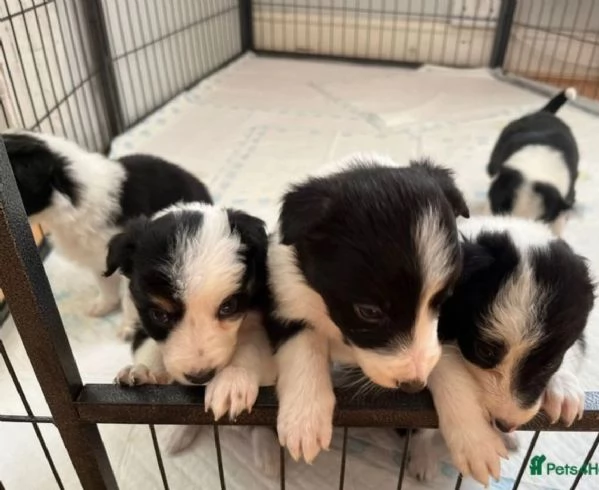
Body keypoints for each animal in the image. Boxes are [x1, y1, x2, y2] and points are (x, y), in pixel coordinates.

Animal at [105, 202, 278, 474]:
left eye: (228, 306)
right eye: (160, 314)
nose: (200, 377)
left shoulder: (260, 316)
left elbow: (251, 346)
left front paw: (232, 383)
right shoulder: (143, 324)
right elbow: (151, 350)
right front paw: (141, 372)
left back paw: (268, 454)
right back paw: (177, 435)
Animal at [270, 153, 472, 464]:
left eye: (443, 299)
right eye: (370, 312)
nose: (413, 385)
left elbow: (444, 357)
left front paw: (475, 436)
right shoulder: (285, 295)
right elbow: (304, 343)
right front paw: (304, 419)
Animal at [408, 217, 596, 486]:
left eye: (551, 363)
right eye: (484, 352)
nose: (505, 424)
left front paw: (564, 391)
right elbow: (442, 364)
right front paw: (476, 443)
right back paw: (423, 459)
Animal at [488, 88, 580, 235]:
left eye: (539, 222)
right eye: (500, 209)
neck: (538, 164)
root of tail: (545, 113)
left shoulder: (566, 195)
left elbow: (561, 214)